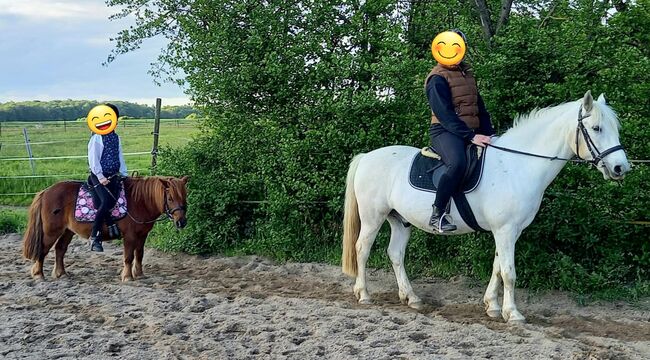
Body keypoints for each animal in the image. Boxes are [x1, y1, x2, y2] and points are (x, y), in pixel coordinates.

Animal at [20, 176, 187, 282]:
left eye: (184, 197)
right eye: (170, 198)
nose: (182, 222)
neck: (140, 201)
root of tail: (45, 192)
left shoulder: (142, 235)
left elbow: (139, 254)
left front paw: (139, 274)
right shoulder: (130, 236)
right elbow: (128, 257)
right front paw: (127, 277)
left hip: (68, 231)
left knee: (60, 249)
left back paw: (61, 273)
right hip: (51, 231)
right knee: (43, 249)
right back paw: (39, 274)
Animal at [342, 91, 632, 322]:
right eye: (596, 128)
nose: (621, 168)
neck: (517, 166)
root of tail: (366, 156)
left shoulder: (509, 231)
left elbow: (497, 267)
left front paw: (492, 306)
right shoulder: (505, 230)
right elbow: (509, 272)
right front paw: (512, 313)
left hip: (399, 220)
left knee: (395, 254)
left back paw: (411, 297)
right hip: (373, 217)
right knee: (362, 249)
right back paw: (364, 294)